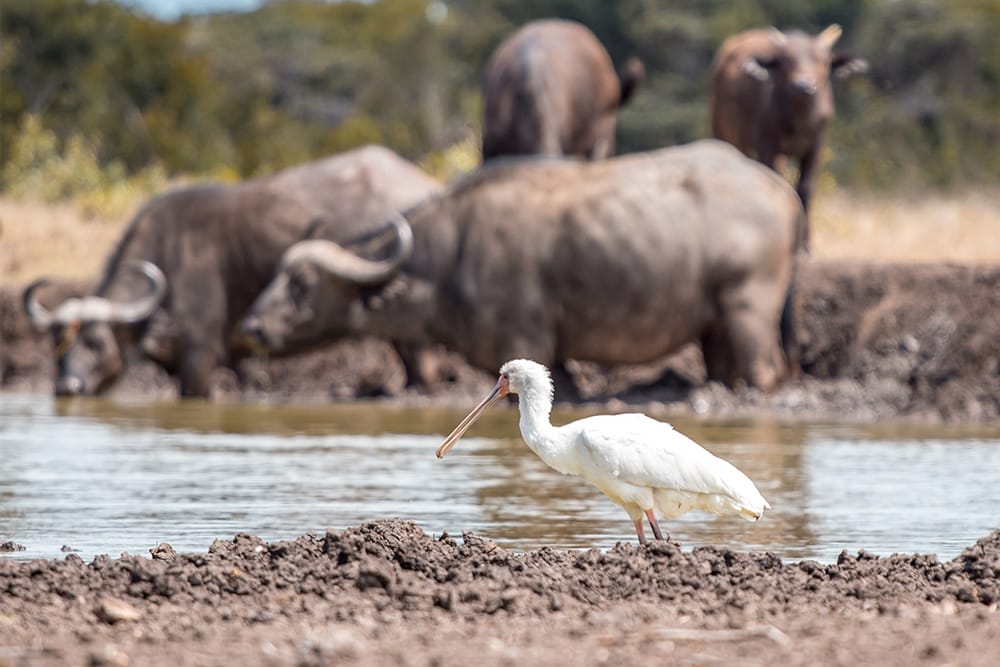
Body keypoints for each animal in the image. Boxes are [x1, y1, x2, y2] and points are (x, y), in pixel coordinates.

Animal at [241, 140, 803, 394]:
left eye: (301, 284)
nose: (252, 325)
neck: (453, 255)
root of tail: (781, 190)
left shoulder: (526, 340)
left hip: (747, 306)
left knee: (764, 371)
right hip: (716, 326)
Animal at [710, 24, 867, 246]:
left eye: (822, 60)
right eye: (786, 60)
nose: (804, 85)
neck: (798, 122)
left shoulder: (816, 146)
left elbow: (805, 188)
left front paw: (805, 244)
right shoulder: (767, 144)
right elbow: (777, 182)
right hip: (723, 133)